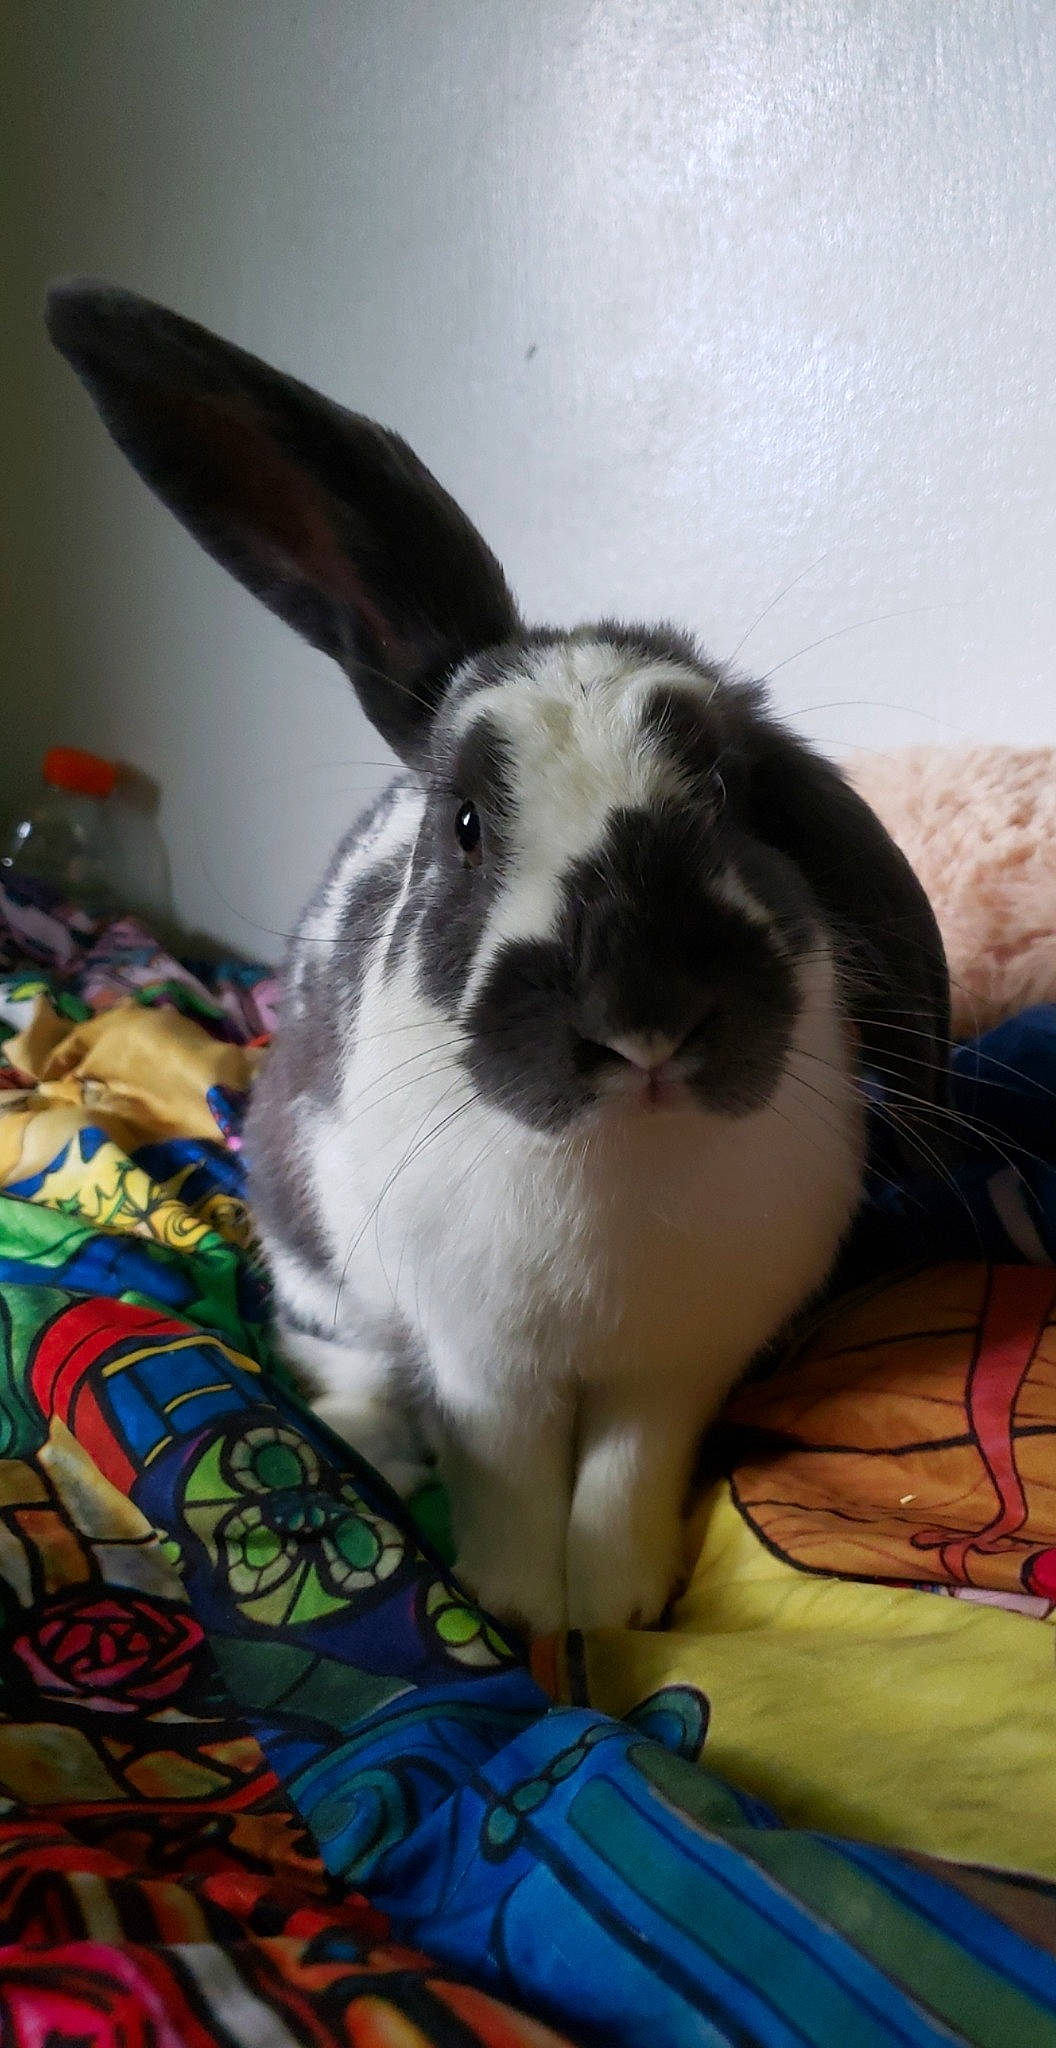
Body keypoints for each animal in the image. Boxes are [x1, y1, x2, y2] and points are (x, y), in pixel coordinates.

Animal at [46, 282, 950, 1636]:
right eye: (466, 823)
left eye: (731, 795)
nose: (642, 1020)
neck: (620, 1164)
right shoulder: (485, 1363)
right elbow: (509, 1472)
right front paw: (517, 1604)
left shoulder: (677, 1369)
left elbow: (626, 1475)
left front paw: (619, 1607)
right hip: (313, 1255)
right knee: (338, 1355)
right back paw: (378, 1443)